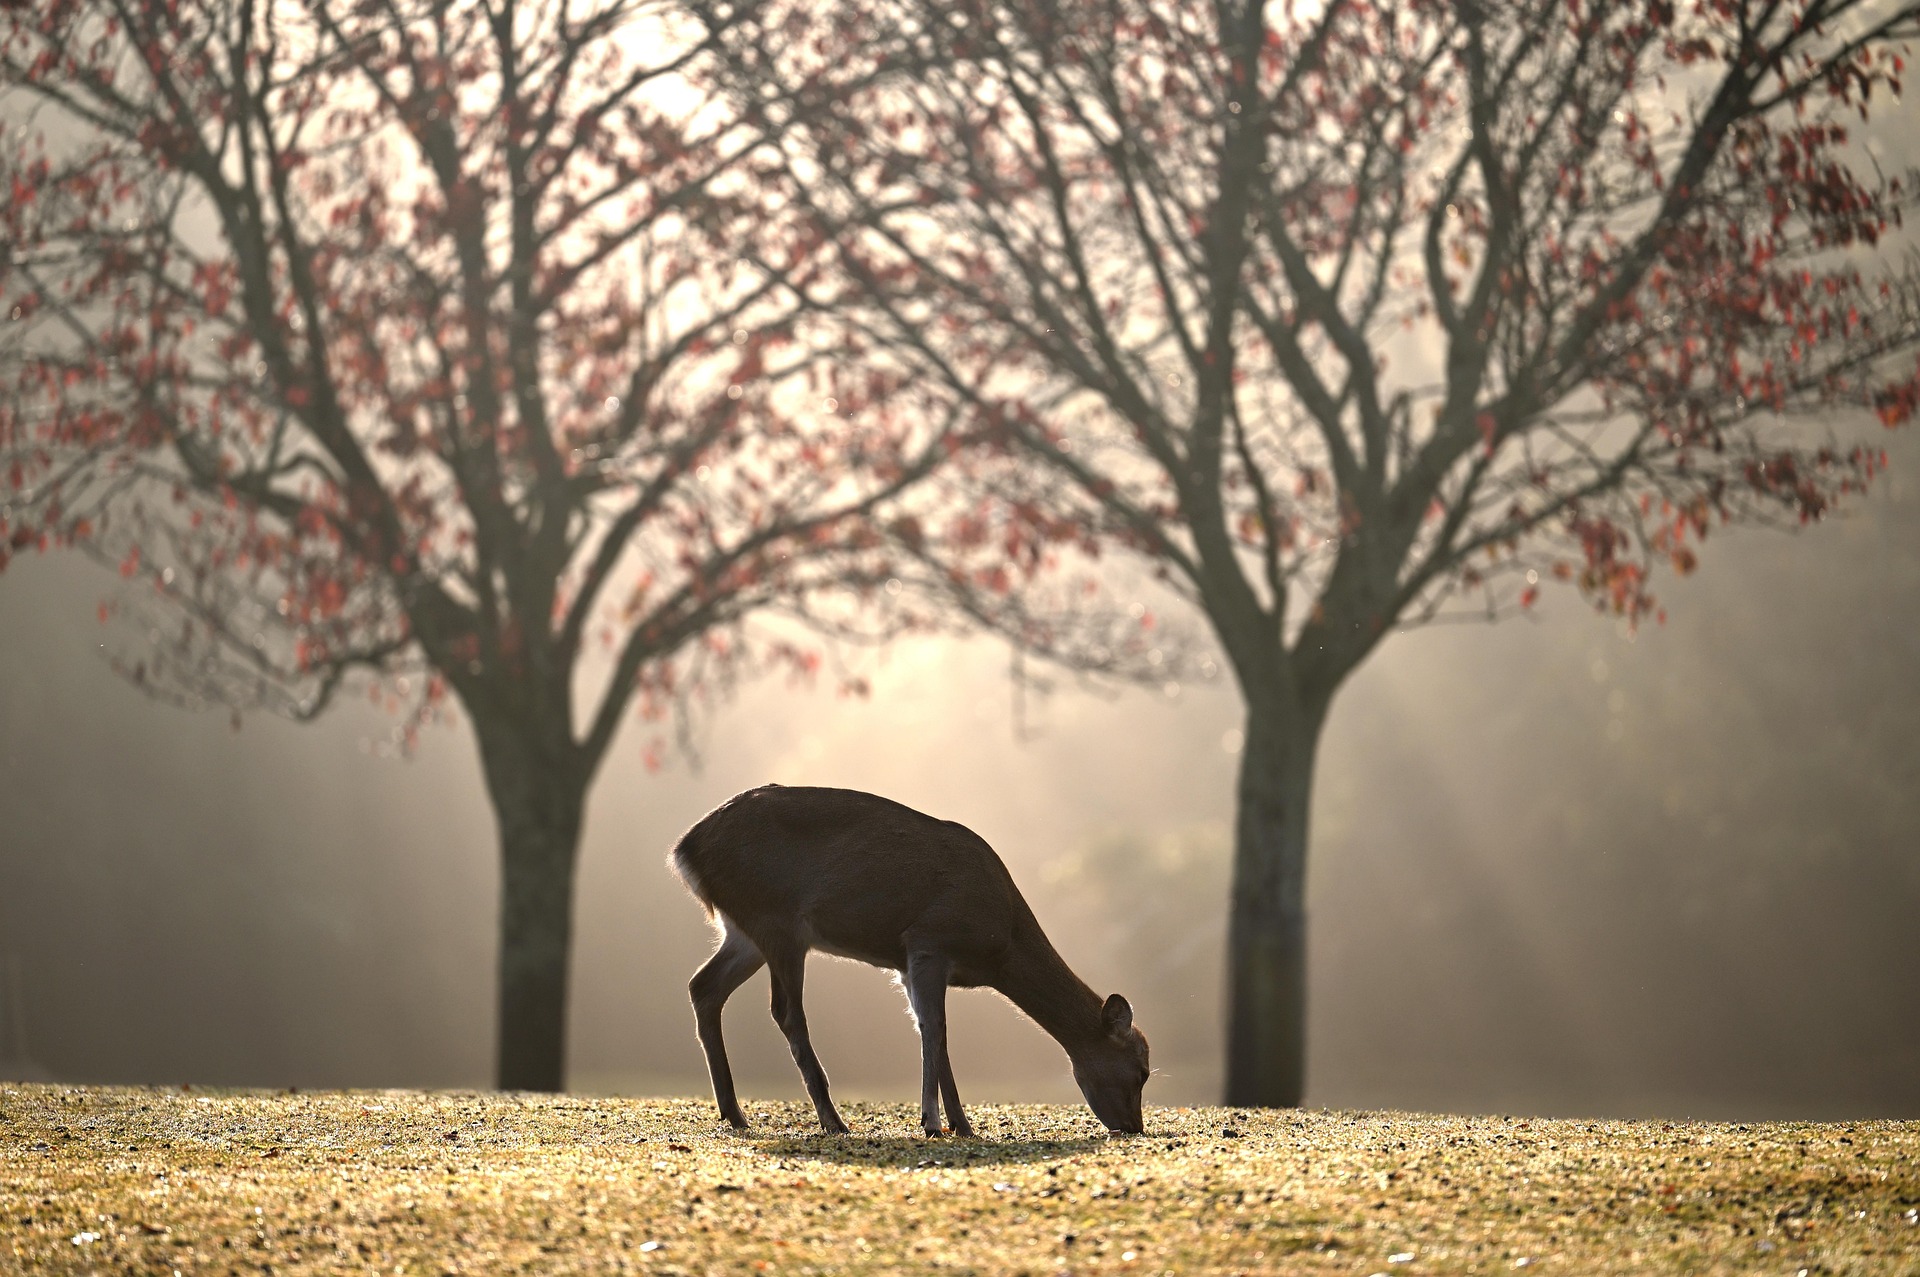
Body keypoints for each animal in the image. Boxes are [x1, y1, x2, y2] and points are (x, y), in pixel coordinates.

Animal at [670, 784, 1150, 1137]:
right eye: (1141, 1069)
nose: (1133, 1127)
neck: (1002, 941)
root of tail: (684, 849)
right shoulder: (928, 940)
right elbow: (935, 1028)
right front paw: (934, 1123)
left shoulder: (906, 964)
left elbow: (932, 1031)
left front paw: (960, 1124)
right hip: (778, 921)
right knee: (785, 1010)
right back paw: (832, 1120)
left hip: (743, 931)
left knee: (703, 986)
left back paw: (734, 1113)